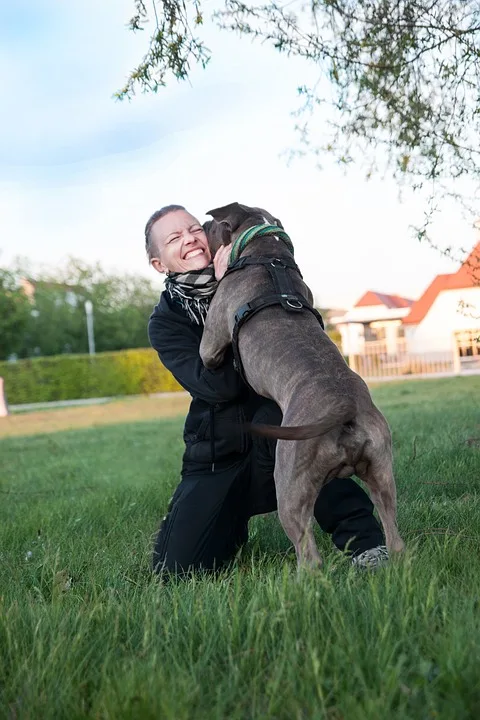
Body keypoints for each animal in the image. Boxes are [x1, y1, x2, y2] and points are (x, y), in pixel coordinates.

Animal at [199, 201, 404, 568]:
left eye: (208, 226)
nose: (199, 229)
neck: (267, 251)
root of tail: (344, 407)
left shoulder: (210, 343)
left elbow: (208, 352)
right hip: (383, 475)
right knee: (394, 537)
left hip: (290, 488)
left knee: (309, 556)